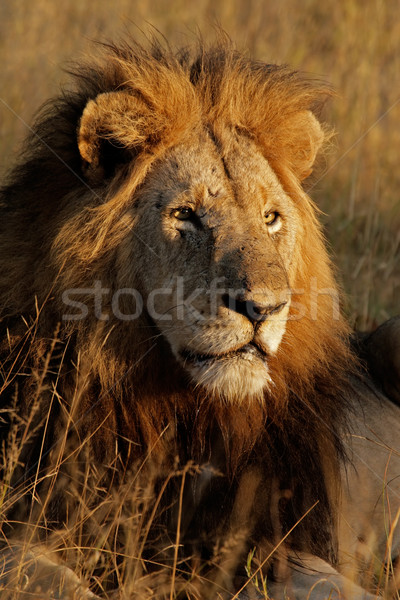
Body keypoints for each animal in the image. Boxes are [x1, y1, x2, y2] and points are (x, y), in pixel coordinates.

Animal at [0, 38, 400, 600]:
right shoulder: (30, 523)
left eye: (270, 218)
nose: (265, 308)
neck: (180, 410)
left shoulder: (272, 541)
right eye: (185, 215)